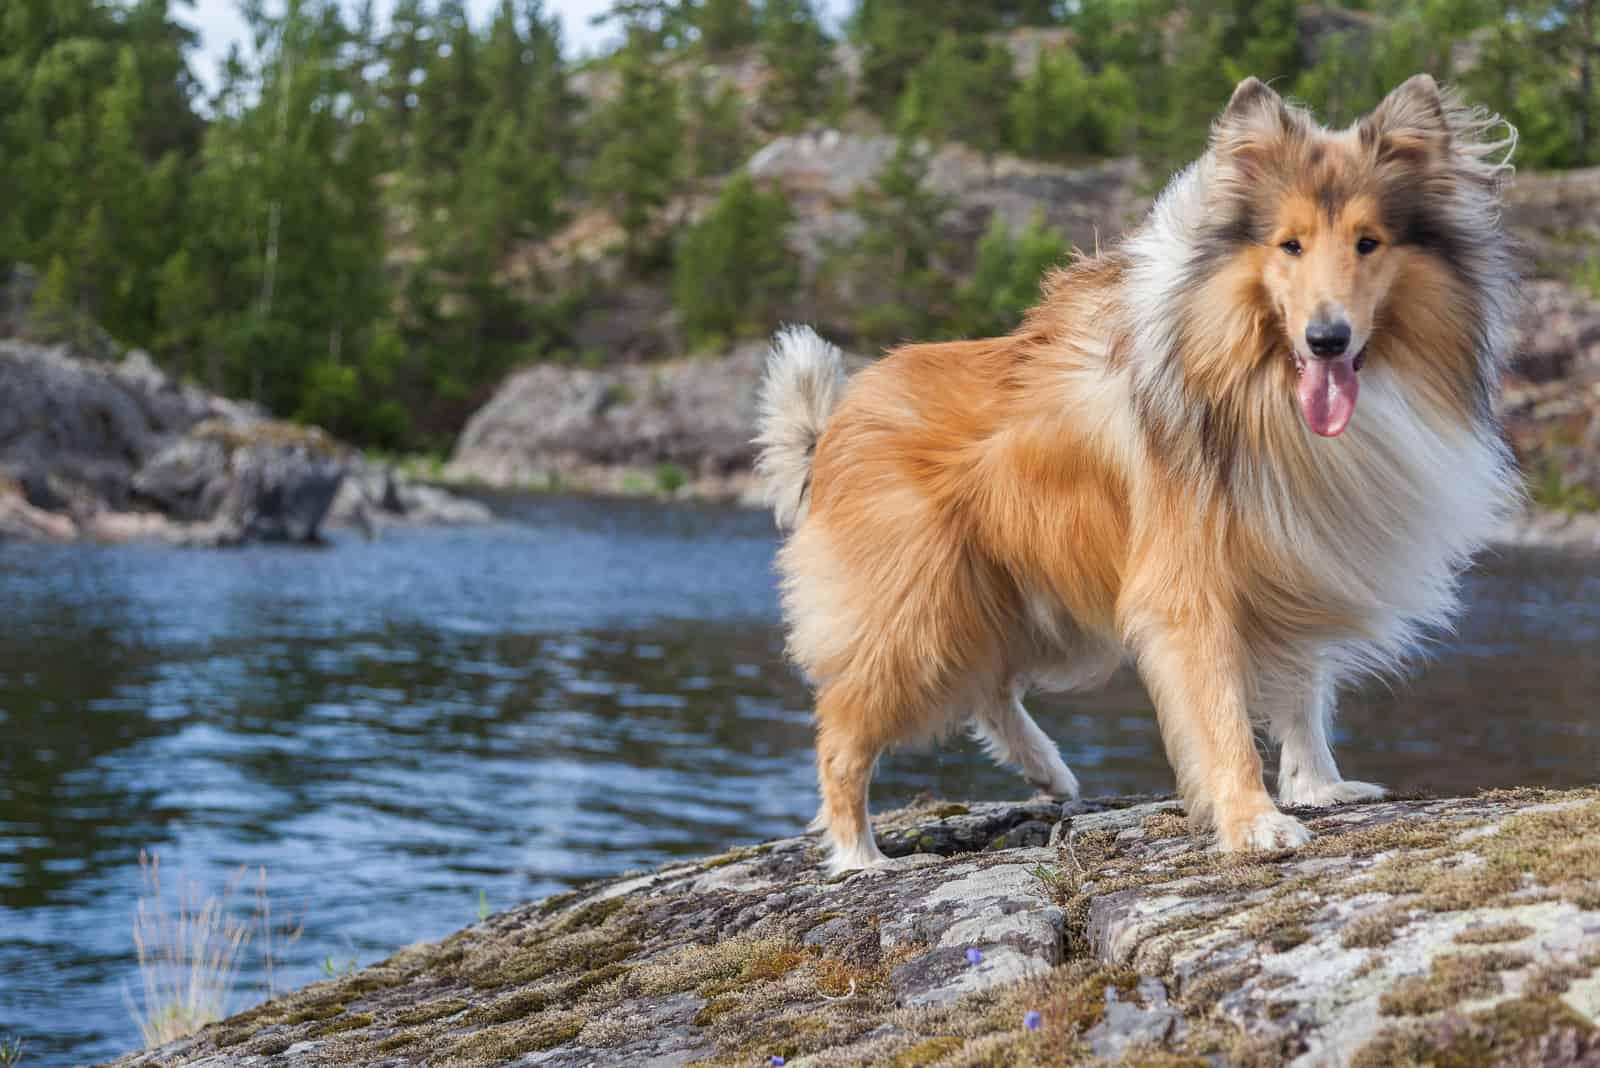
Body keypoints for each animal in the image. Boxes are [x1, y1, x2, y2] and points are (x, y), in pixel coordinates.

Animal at [755, 77, 1516, 876]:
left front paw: (1320, 786)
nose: (1327, 339)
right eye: (1290, 244)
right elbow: (1220, 711)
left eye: (1369, 242)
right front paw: (1254, 822)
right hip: (915, 611)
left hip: (1027, 601)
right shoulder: (1192, 583)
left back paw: (1047, 771)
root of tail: (835, 420)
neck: (1252, 374)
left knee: (989, 689)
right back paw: (858, 855)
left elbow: (1303, 691)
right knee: (843, 731)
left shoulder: (1295, 558)